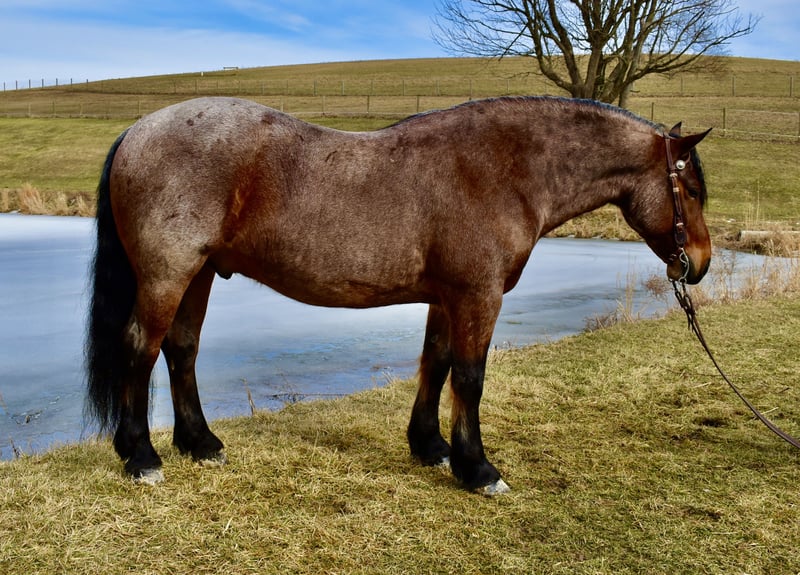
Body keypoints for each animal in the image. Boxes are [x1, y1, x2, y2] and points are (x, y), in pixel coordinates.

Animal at [86, 96, 711, 494]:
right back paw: (141, 456)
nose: (700, 264)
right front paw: (477, 470)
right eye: (691, 188)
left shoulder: (448, 297)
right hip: (168, 274)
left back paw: (201, 442)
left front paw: (430, 447)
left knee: (181, 350)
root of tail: (138, 131)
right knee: (141, 349)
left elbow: (435, 363)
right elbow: (469, 377)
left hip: (199, 274)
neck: (501, 168)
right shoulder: (478, 296)